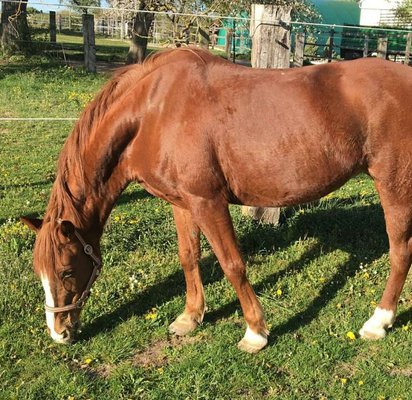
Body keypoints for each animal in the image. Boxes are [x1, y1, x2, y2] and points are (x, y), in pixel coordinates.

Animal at [21, 48, 412, 353]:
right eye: (39, 272)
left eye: (66, 270)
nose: (59, 333)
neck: (155, 112)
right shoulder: (182, 202)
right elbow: (189, 256)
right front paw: (190, 317)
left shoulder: (208, 201)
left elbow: (232, 264)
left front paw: (255, 332)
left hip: (394, 186)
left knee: (399, 252)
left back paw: (378, 322)